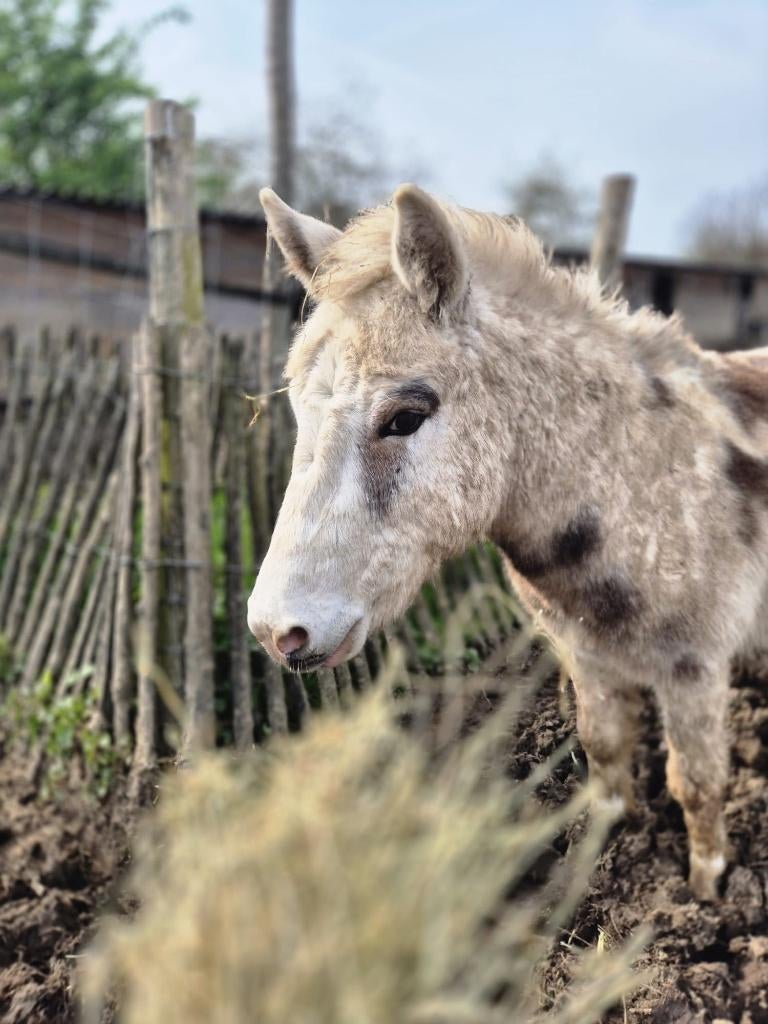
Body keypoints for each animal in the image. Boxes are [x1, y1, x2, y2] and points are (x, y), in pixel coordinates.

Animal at [248, 183, 768, 899]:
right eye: (298, 409)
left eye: (404, 418)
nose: (276, 632)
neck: (635, 481)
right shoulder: (587, 654)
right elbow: (606, 755)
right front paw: (606, 855)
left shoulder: (697, 665)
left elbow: (697, 785)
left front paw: (707, 894)